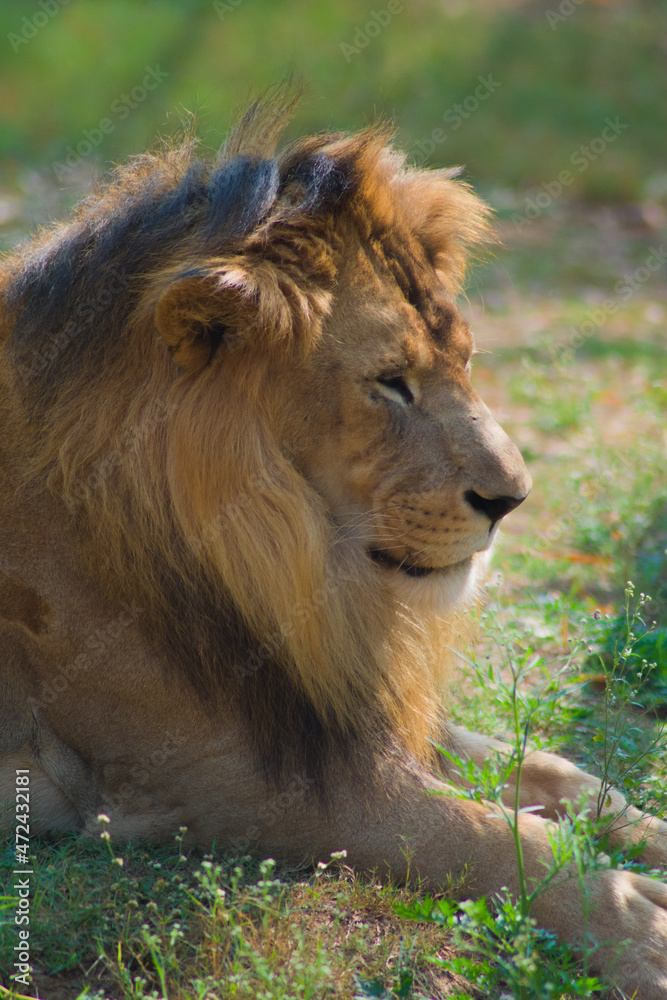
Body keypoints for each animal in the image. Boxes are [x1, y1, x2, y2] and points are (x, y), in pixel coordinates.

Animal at [0, 95, 664, 1000]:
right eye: (389, 383)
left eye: (465, 361)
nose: (512, 499)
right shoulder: (215, 778)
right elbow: (483, 835)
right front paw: (640, 932)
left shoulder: (320, 699)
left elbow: (559, 774)